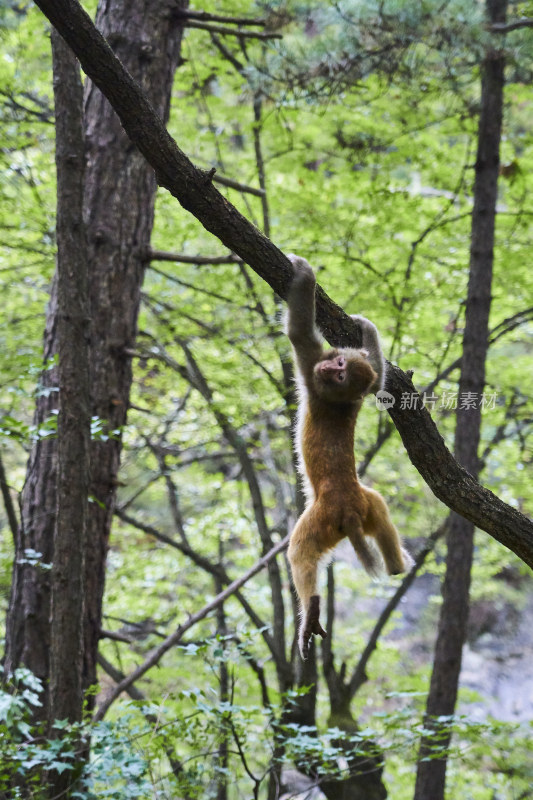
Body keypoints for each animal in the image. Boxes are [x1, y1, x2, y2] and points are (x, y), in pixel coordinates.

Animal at [286, 255, 412, 656]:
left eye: (340, 374)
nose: (331, 367)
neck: (338, 396)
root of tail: (350, 512)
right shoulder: (355, 383)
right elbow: (379, 380)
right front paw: (366, 328)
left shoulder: (310, 366)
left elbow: (298, 331)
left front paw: (304, 274)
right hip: (366, 505)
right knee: (382, 508)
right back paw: (398, 565)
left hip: (323, 519)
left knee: (300, 553)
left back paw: (310, 611)